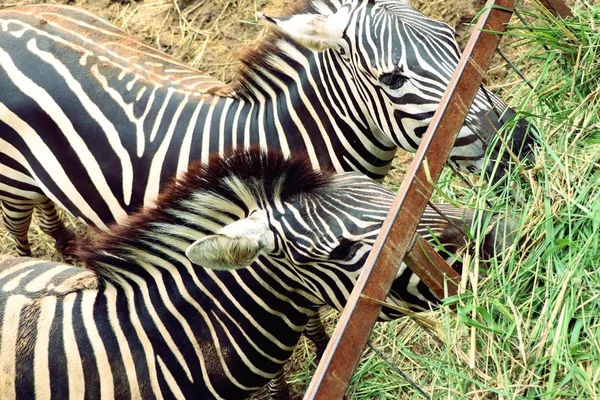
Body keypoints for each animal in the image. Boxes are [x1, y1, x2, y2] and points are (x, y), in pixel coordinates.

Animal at [0, 0, 536, 256]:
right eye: (393, 78)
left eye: (451, 37)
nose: (520, 141)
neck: (297, 139)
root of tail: (10, 20)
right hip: (11, 180)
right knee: (17, 228)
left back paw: (65, 245)